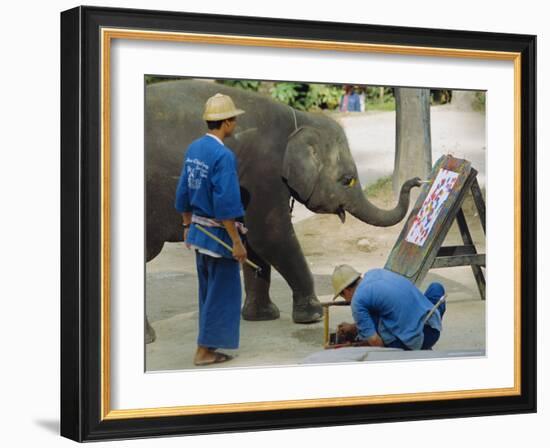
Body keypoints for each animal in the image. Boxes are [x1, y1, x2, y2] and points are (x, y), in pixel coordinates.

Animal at [144, 79, 420, 332]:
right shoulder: (262, 172)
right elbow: (270, 236)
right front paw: (313, 315)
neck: (299, 120)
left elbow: (251, 241)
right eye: (347, 179)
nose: (416, 181)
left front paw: (263, 316)